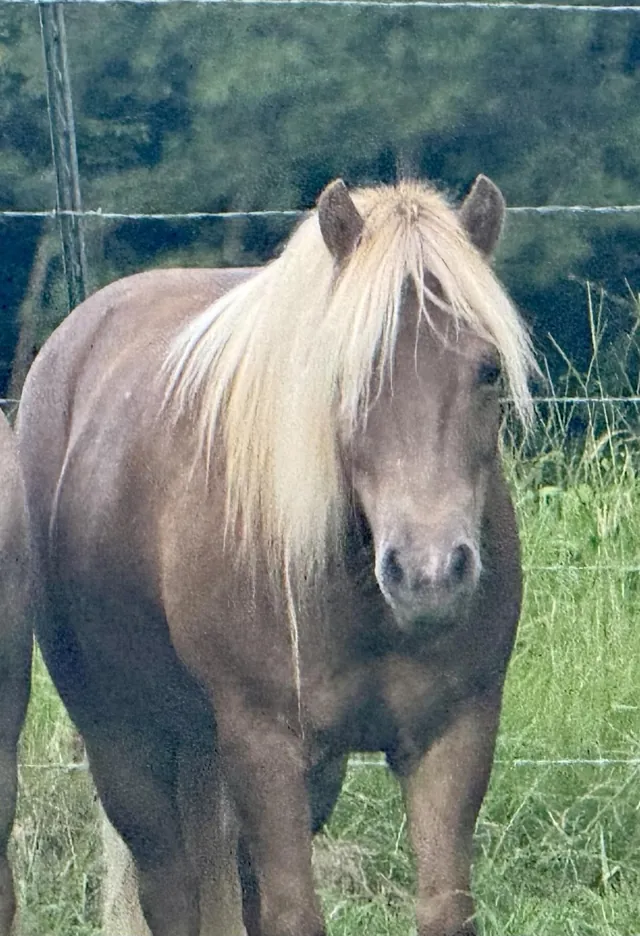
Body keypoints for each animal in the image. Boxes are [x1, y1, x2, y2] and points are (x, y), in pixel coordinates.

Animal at [17, 173, 536, 936]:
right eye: (344, 371)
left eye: (487, 368)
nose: (430, 572)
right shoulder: (265, 746)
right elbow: (291, 912)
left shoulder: (453, 735)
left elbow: (443, 908)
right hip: (126, 742)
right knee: (170, 889)